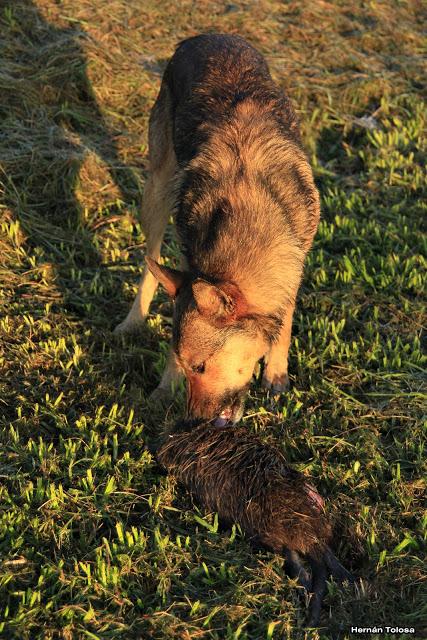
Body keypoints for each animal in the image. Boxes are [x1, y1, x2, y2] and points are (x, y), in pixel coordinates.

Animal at [115, 35, 320, 424]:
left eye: (200, 368)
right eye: (188, 367)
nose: (192, 422)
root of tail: (205, 36)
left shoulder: (295, 260)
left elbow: (284, 320)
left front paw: (276, 375)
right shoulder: (188, 259)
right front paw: (165, 388)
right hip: (157, 193)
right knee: (149, 261)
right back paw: (133, 321)